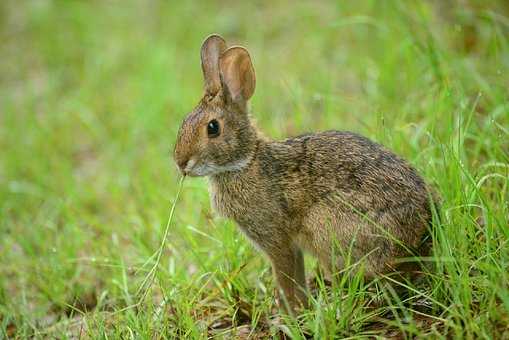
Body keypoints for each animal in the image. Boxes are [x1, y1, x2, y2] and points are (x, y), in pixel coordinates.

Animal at [173, 34, 434, 314]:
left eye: (213, 128)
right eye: (184, 121)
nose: (181, 162)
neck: (246, 161)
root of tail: (420, 237)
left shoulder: (277, 239)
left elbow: (286, 276)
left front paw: (291, 313)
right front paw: (300, 309)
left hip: (327, 228)